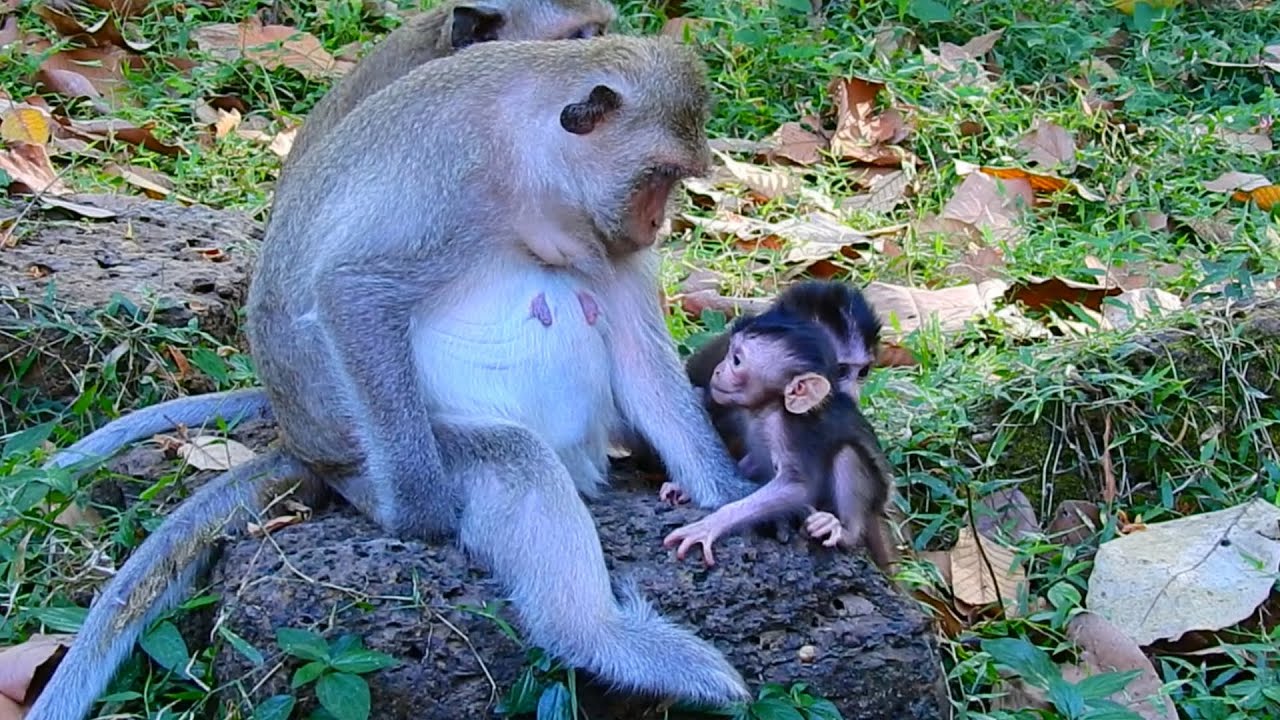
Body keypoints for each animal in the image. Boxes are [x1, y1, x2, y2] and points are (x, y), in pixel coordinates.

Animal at [27, 36, 757, 720]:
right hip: (380, 463)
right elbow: (354, 292)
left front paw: (729, 497)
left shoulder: (603, 238)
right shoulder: (449, 184)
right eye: (658, 175)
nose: (658, 222)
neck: (525, 160)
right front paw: (420, 511)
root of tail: (302, 451)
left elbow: (641, 361)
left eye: (678, 180)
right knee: (512, 458)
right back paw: (602, 636)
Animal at [662, 307, 896, 571]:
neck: (769, 407)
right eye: (728, 352)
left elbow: (796, 486)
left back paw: (846, 532)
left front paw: (710, 525)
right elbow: (755, 460)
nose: (718, 370)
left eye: (737, 360)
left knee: (848, 454)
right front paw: (686, 486)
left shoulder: (789, 430)